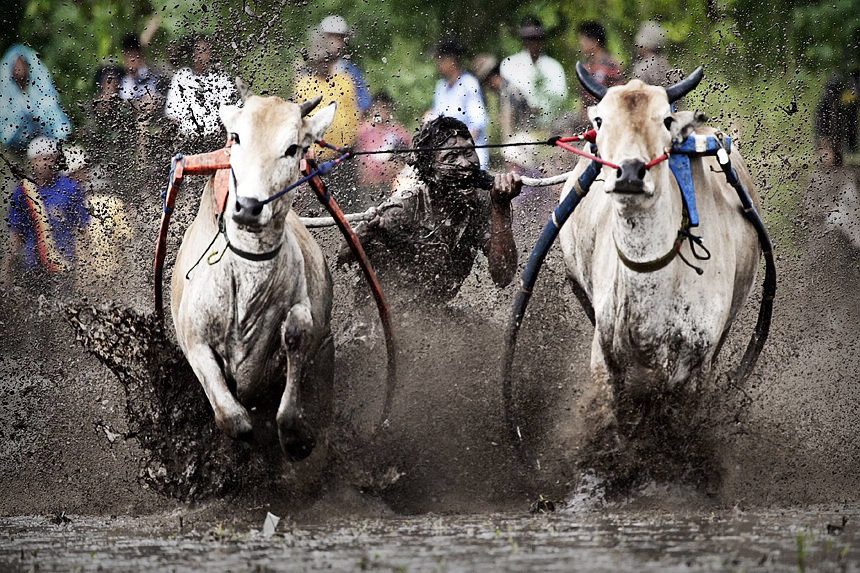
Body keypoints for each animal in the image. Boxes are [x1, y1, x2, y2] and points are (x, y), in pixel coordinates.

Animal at [170, 94, 336, 460]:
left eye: (292, 148)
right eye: (237, 137)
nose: (247, 206)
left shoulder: (305, 316)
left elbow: (296, 334)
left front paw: (297, 439)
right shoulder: (194, 339)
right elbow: (233, 419)